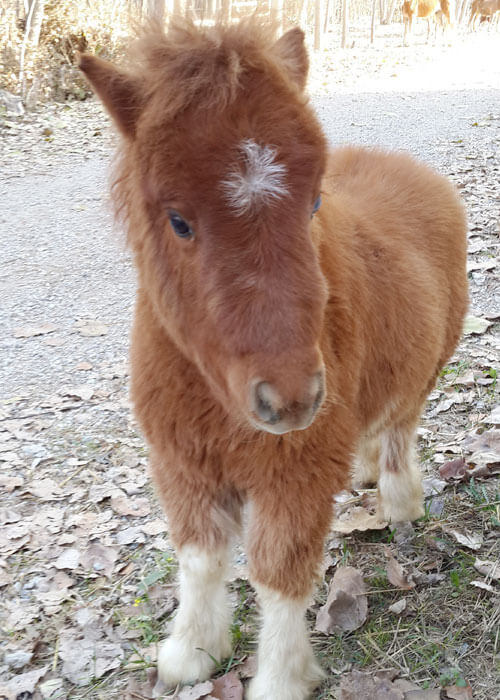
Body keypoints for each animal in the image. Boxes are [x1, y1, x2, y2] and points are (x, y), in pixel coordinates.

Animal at [79, 20, 468, 700]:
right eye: (178, 221)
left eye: (313, 203)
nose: (291, 399)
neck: (214, 395)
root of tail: (408, 167)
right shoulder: (183, 464)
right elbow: (201, 557)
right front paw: (191, 651)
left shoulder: (295, 474)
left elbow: (278, 574)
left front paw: (280, 677)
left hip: (427, 364)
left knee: (401, 423)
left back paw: (398, 499)